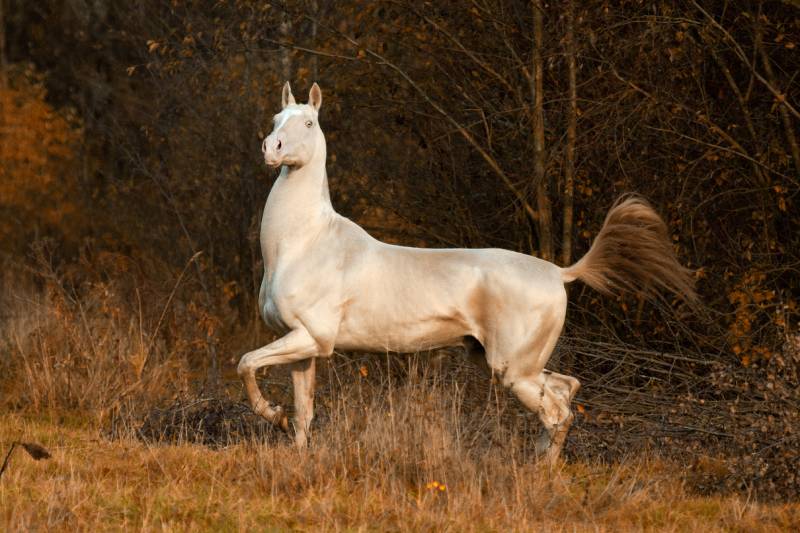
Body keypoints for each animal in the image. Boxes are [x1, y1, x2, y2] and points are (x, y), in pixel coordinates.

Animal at [237, 82, 696, 462]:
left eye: (308, 122)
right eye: (276, 119)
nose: (272, 148)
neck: (304, 243)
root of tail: (559, 273)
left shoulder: (311, 338)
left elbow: (245, 363)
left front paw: (271, 414)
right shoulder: (304, 348)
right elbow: (303, 411)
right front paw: (291, 441)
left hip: (513, 370)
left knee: (556, 412)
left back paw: (541, 475)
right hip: (510, 364)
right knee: (566, 392)